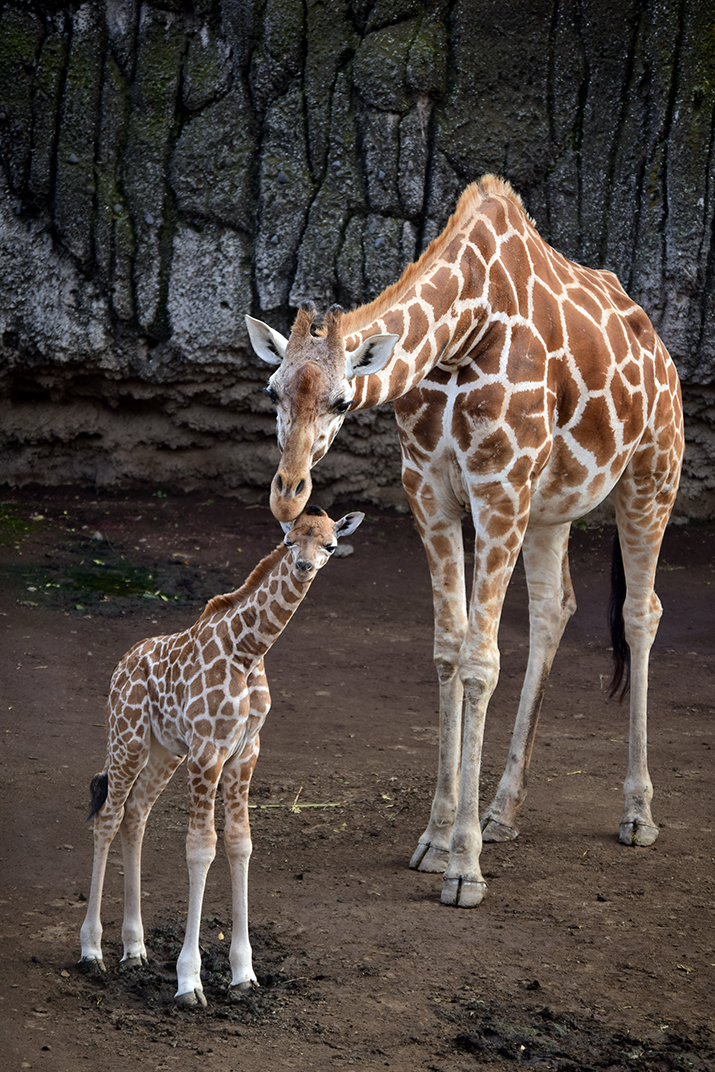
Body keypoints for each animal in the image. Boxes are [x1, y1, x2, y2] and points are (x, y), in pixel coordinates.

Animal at [79, 501, 364, 1003]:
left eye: (330, 545)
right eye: (289, 540)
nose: (304, 566)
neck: (247, 651)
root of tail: (120, 666)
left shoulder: (244, 751)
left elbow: (239, 843)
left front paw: (243, 973)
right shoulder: (208, 750)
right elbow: (200, 848)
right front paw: (189, 980)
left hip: (162, 752)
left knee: (135, 815)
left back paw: (134, 950)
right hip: (127, 737)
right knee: (108, 818)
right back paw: (92, 951)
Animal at [247, 173, 686, 904]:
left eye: (342, 400)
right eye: (271, 391)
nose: (288, 492)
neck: (464, 331)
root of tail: (664, 356)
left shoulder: (497, 488)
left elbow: (481, 661)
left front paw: (464, 868)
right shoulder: (431, 493)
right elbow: (448, 652)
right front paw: (435, 837)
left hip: (651, 476)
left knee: (640, 612)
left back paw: (638, 814)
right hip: (550, 507)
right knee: (554, 608)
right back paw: (503, 810)